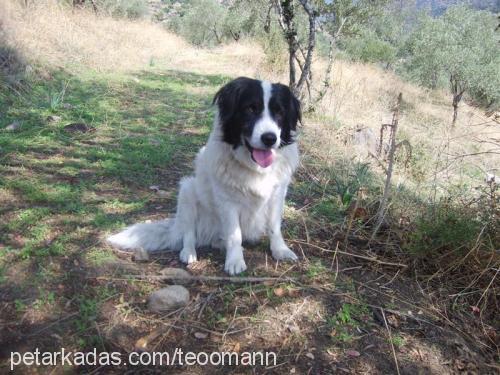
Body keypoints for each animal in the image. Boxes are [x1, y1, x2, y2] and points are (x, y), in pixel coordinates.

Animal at [107, 77, 300, 276]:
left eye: (279, 112)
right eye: (250, 109)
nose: (269, 138)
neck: (254, 168)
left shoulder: (277, 195)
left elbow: (274, 227)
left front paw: (280, 250)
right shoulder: (227, 201)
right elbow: (234, 235)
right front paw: (235, 261)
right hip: (187, 190)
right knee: (189, 232)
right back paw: (189, 252)